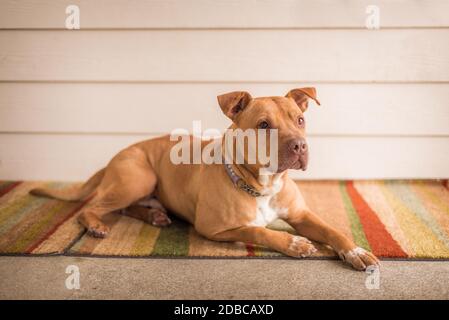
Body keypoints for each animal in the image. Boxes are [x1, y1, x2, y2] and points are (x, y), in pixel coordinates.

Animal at [29, 87, 378, 270]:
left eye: (300, 119)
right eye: (264, 125)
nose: (299, 146)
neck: (262, 185)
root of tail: (121, 152)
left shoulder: (302, 214)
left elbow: (332, 230)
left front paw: (355, 251)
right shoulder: (214, 228)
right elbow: (259, 231)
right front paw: (293, 243)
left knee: (126, 207)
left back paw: (155, 215)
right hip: (138, 178)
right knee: (92, 207)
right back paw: (96, 224)